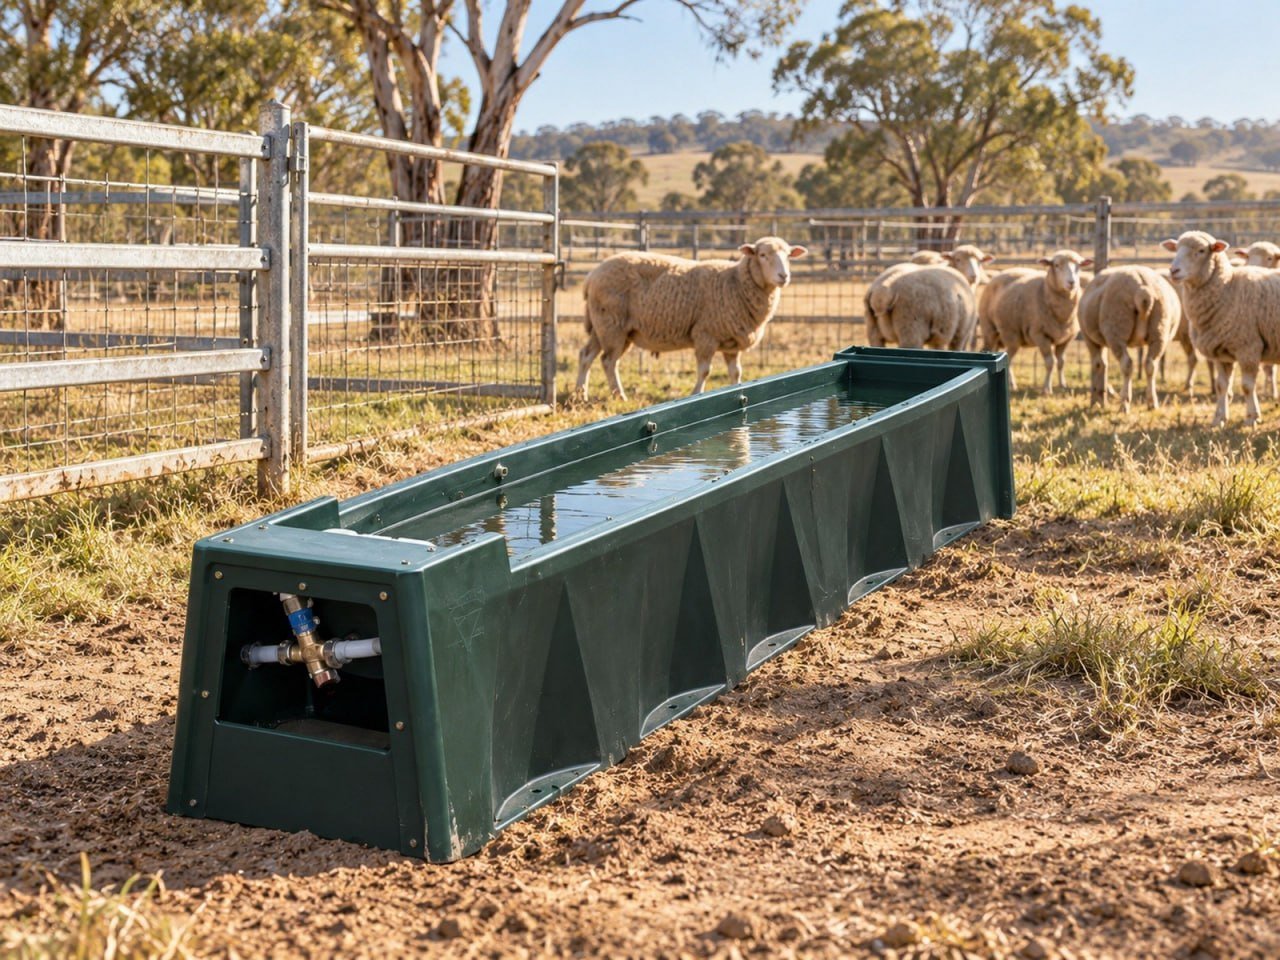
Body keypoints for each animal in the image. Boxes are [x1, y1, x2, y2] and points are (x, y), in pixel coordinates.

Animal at [574, 236, 807, 400]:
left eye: (788, 256)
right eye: (763, 255)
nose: (784, 276)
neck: (735, 282)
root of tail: (591, 275)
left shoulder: (732, 344)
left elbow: (736, 374)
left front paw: (736, 393)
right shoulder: (705, 334)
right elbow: (704, 371)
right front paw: (696, 394)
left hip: (604, 327)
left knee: (586, 355)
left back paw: (580, 395)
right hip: (613, 325)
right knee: (609, 361)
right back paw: (619, 396)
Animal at [978, 250, 1093, 393]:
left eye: (1079, 265)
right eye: (1056, 265)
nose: (1071, 282)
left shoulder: (1066, 338)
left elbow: (1061, 362)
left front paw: (1062, 385)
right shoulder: (1039, 335)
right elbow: (1050, 362)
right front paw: (1047, 389)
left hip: (1008, 337)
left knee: (1007, 356)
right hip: (993, 330)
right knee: (1003, 356)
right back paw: (1011, 384)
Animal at [1079, 265, 1180, 410]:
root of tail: (1143, 291)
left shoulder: (1090, 339)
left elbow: (1099, 364)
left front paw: (1098, 401)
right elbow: (1103, 364)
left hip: (1117, 329)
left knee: (1127, 364)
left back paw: (1124, 403)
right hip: (1160, 329)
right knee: (1151, 365)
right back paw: (1152, 403)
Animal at [1162, 230, 1280, 426]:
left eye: (1201, 250)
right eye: (1176, 248)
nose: (1174, 271)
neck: (1229, 287)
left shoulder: (1249, 347)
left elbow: (1247, 386)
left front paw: (1252, 418)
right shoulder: (1220, 351)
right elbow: (1221, 386)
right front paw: (1219, 419)